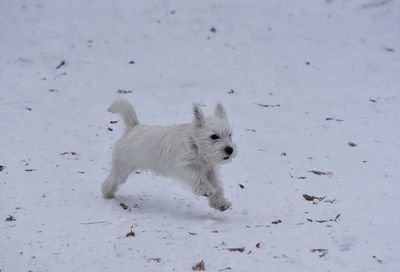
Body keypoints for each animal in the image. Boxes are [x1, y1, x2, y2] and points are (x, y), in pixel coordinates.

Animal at [101, 99, 236, 211]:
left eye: (230, 135)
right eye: (214, 136)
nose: (230, 150)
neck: (196, 146)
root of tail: (133, 127)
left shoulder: (209, 171)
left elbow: (217, 186)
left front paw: (220, 203)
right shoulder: (185, 166)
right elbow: (198, 177)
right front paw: (206, 189)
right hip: (122, 168)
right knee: (111, 180)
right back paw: (107, 193)